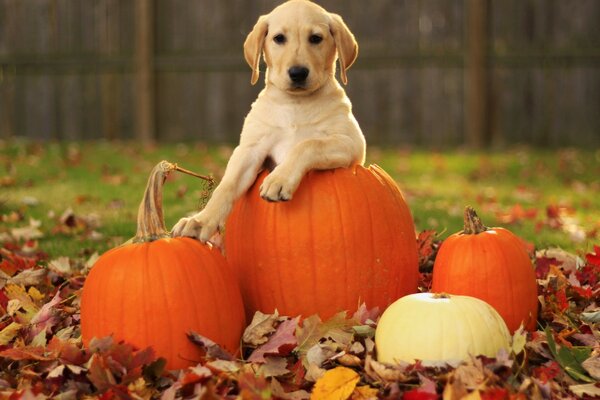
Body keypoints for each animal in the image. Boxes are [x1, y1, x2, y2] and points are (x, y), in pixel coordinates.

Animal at [171, 0, 364, 241]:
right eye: (279, 38)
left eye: (316, 38)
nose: (298, 73)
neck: (296, 104)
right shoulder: (250, 150)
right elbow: (227, 185)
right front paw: (200, 221)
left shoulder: (351, 143)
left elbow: (308, 144)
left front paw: (278, 180)